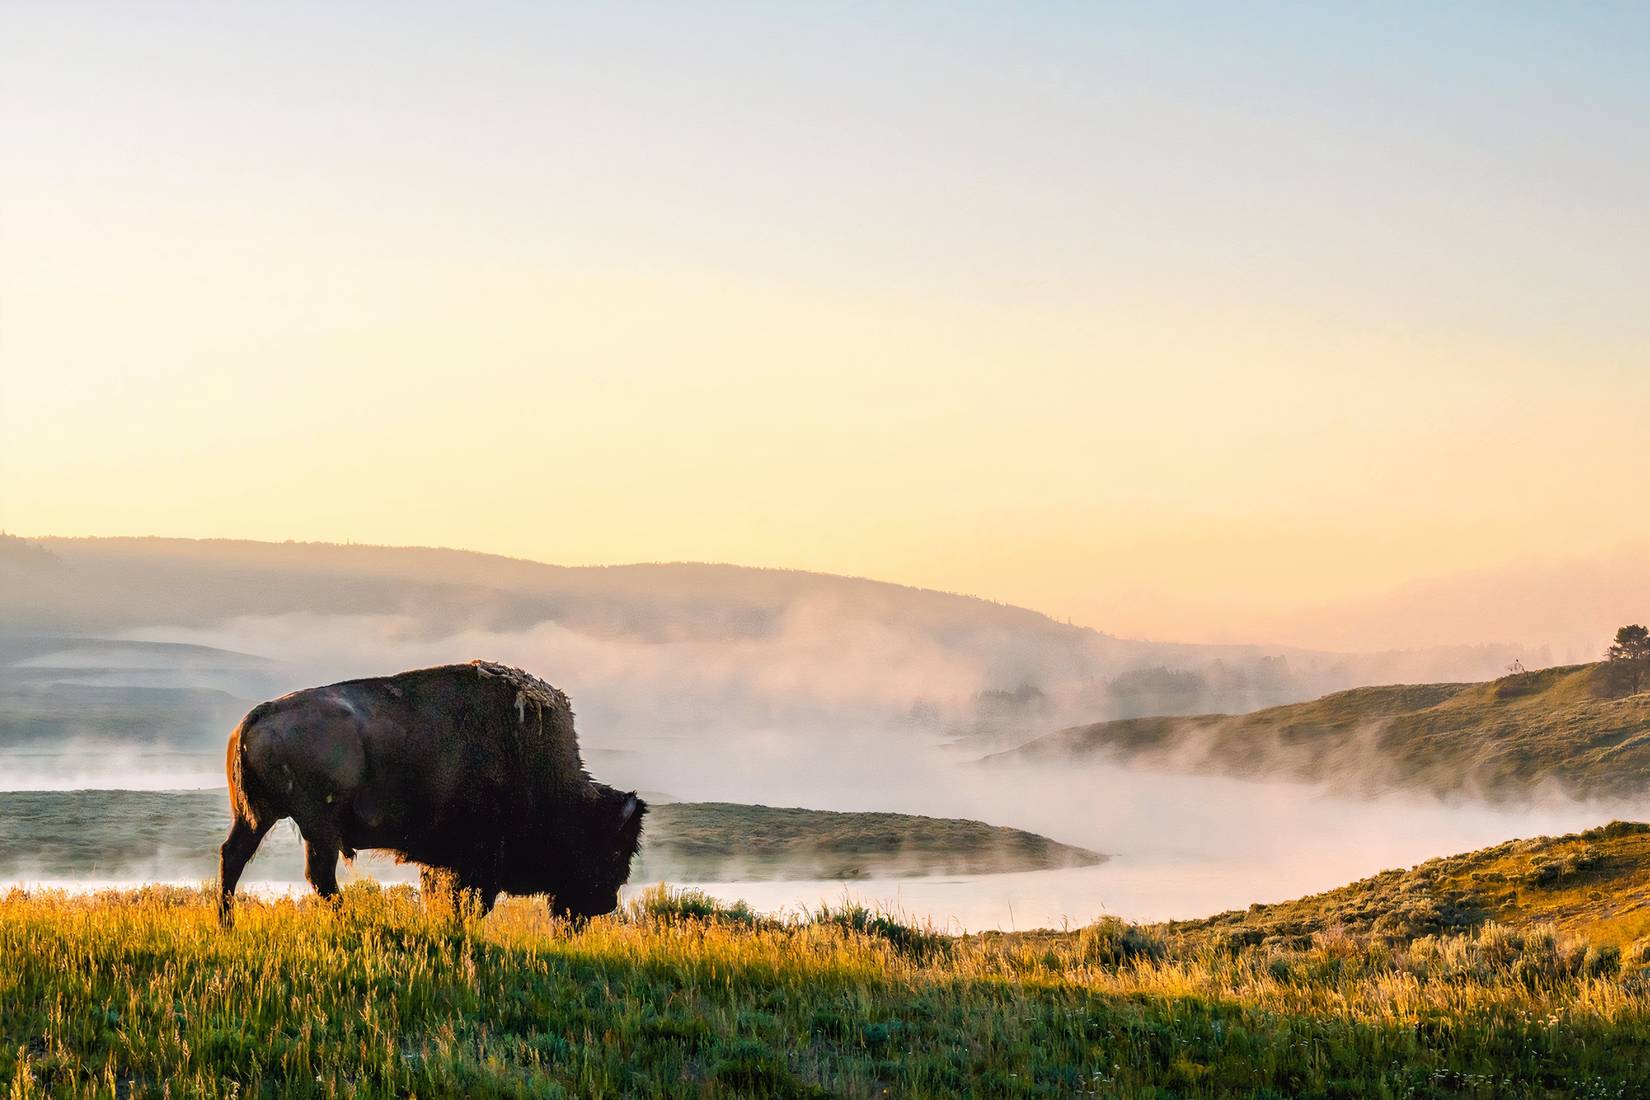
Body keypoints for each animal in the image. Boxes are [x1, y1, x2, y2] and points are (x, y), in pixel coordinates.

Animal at [219, 660, 645, 921]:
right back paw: (348, 919)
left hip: (258, 818)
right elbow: (471, 900)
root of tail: (257, 715)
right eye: (613, 848)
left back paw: (227, 924)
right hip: (317, 826)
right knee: (319, 877)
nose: (605, 904)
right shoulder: (479, 858)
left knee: (234, 857)